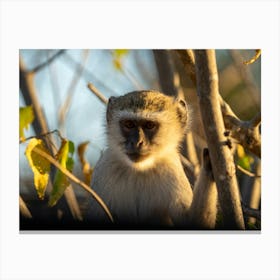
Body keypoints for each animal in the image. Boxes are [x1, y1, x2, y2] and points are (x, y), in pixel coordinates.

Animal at [86, 91, 218, 229]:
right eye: (129, 124)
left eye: (149, 125)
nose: (137, 142)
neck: (139, 170)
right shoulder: (105, 167)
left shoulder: (172, 168)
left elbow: (191, 221)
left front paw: (210, 166)